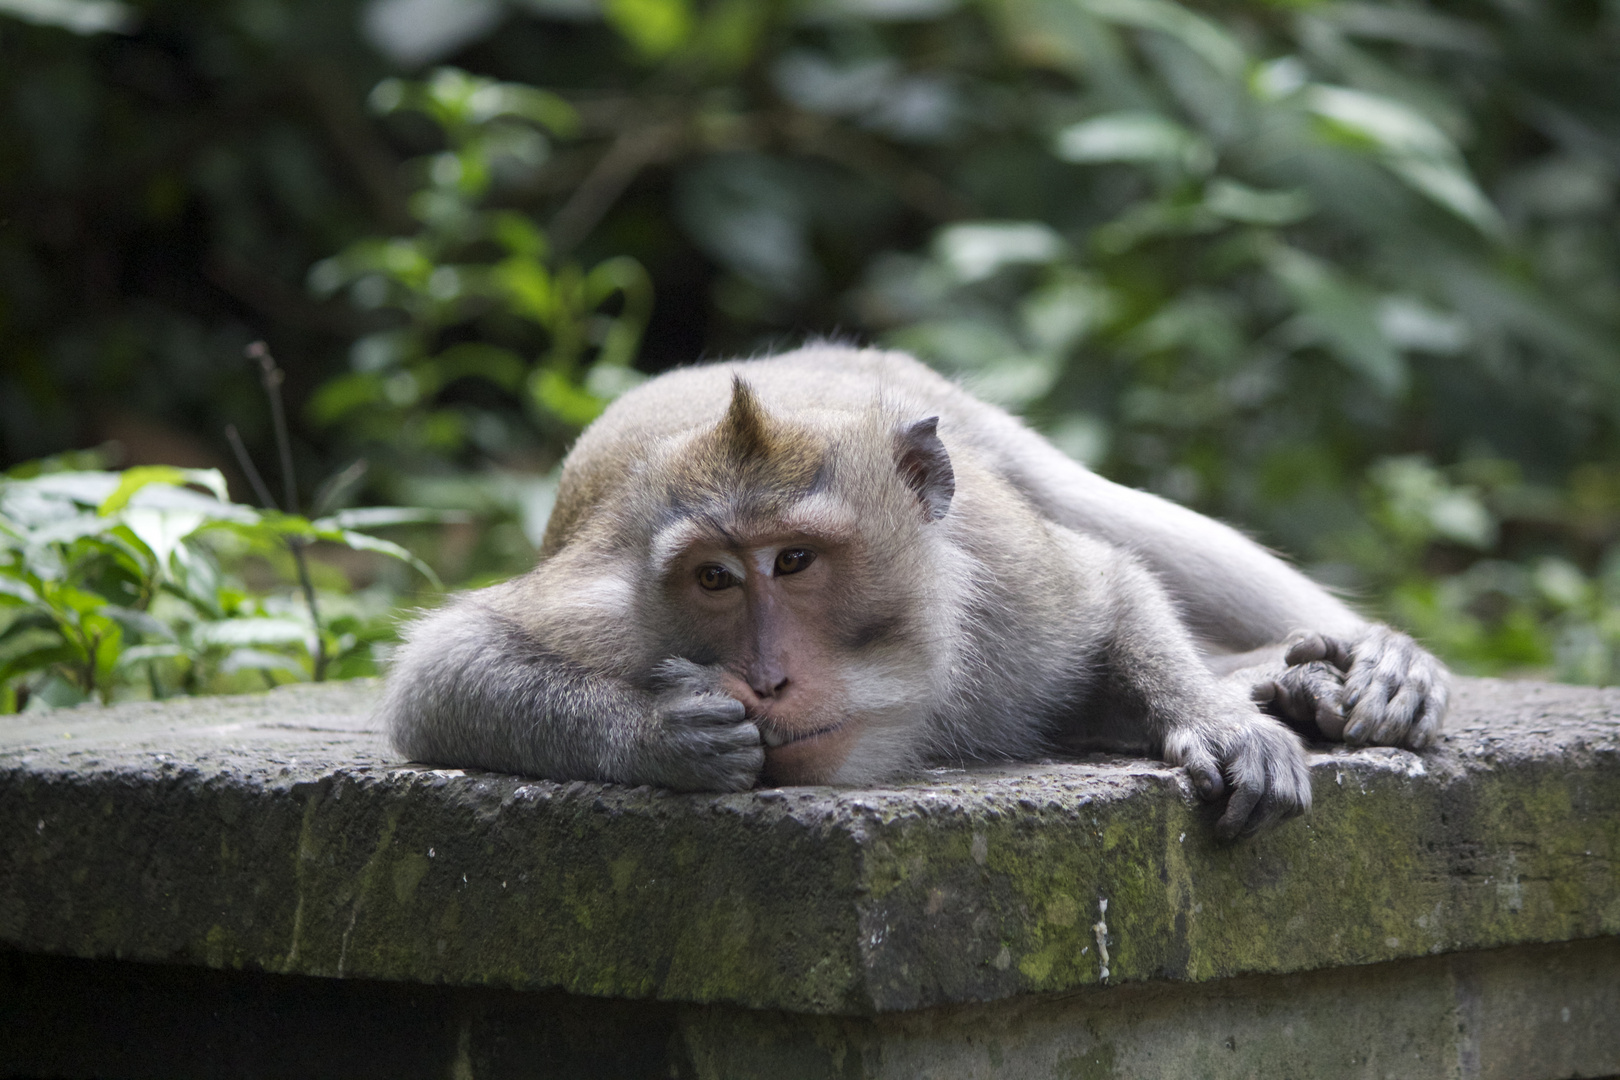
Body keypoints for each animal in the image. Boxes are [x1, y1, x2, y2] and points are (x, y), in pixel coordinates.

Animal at [385, 346, 1451, 835]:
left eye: (796, 562)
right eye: (715, 577)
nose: (765, 680)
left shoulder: (1008, 587)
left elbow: (1109, 587)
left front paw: (1220, 720)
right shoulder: (612, 607)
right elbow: (443, 677)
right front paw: (671, 735)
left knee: (1088, 503)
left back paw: (1359, 660)